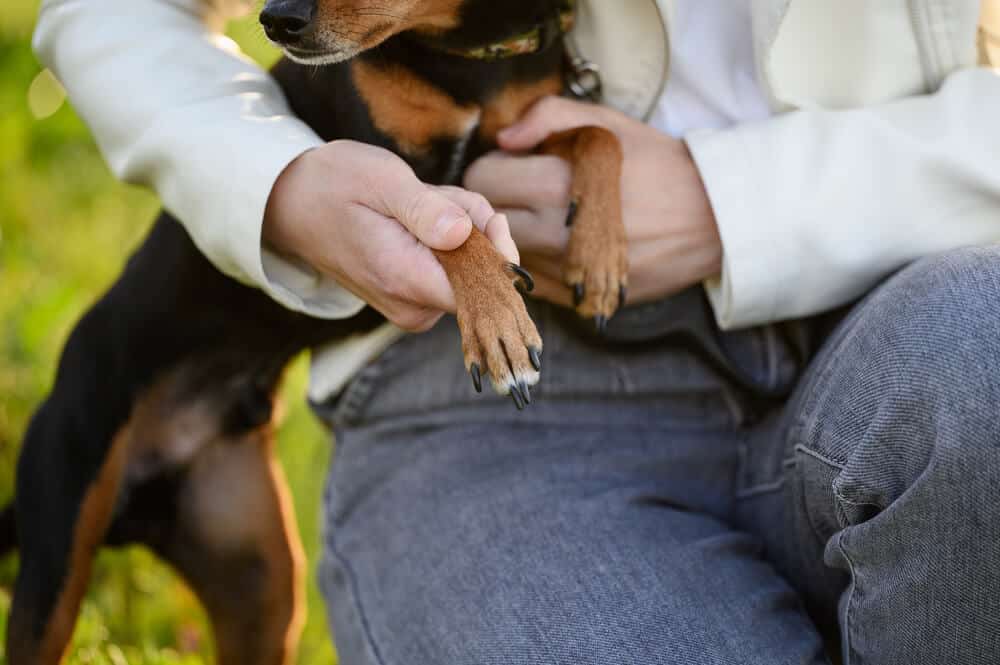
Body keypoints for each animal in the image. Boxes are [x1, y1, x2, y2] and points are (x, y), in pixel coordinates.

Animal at [1, 0, 624, 660]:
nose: (275, 20)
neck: (467, 58)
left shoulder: (514, 143)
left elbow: (598, 134)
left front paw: (601, 257)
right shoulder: (396, 173)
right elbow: (451, 224)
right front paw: (499, 325)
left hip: (261, 586)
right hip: (61, 535)